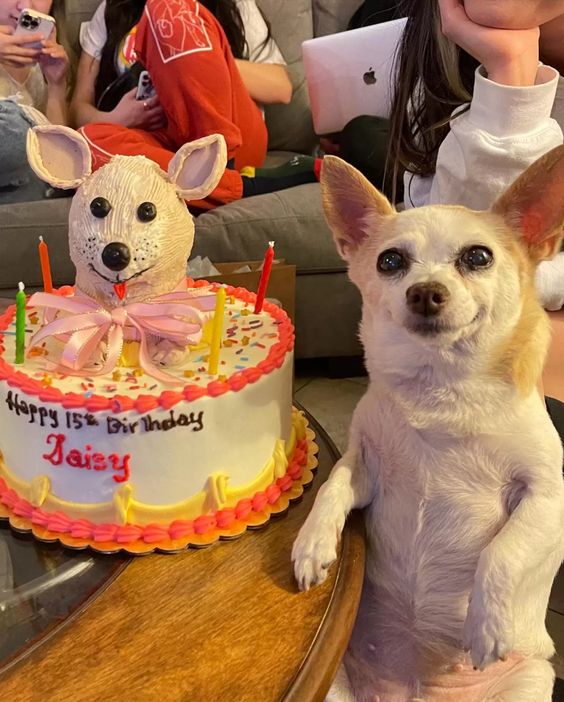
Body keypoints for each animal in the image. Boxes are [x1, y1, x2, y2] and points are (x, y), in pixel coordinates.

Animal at [294, 146, 564, 700]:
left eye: (478, 257)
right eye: (390, 261)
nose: (424, 291)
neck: (440, 387)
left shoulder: (547, 499)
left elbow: (502, 552)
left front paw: (486, 625)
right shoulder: (363, 466)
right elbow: (332, 487)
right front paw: (311, 544)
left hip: (529, 680)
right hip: (334, 685)